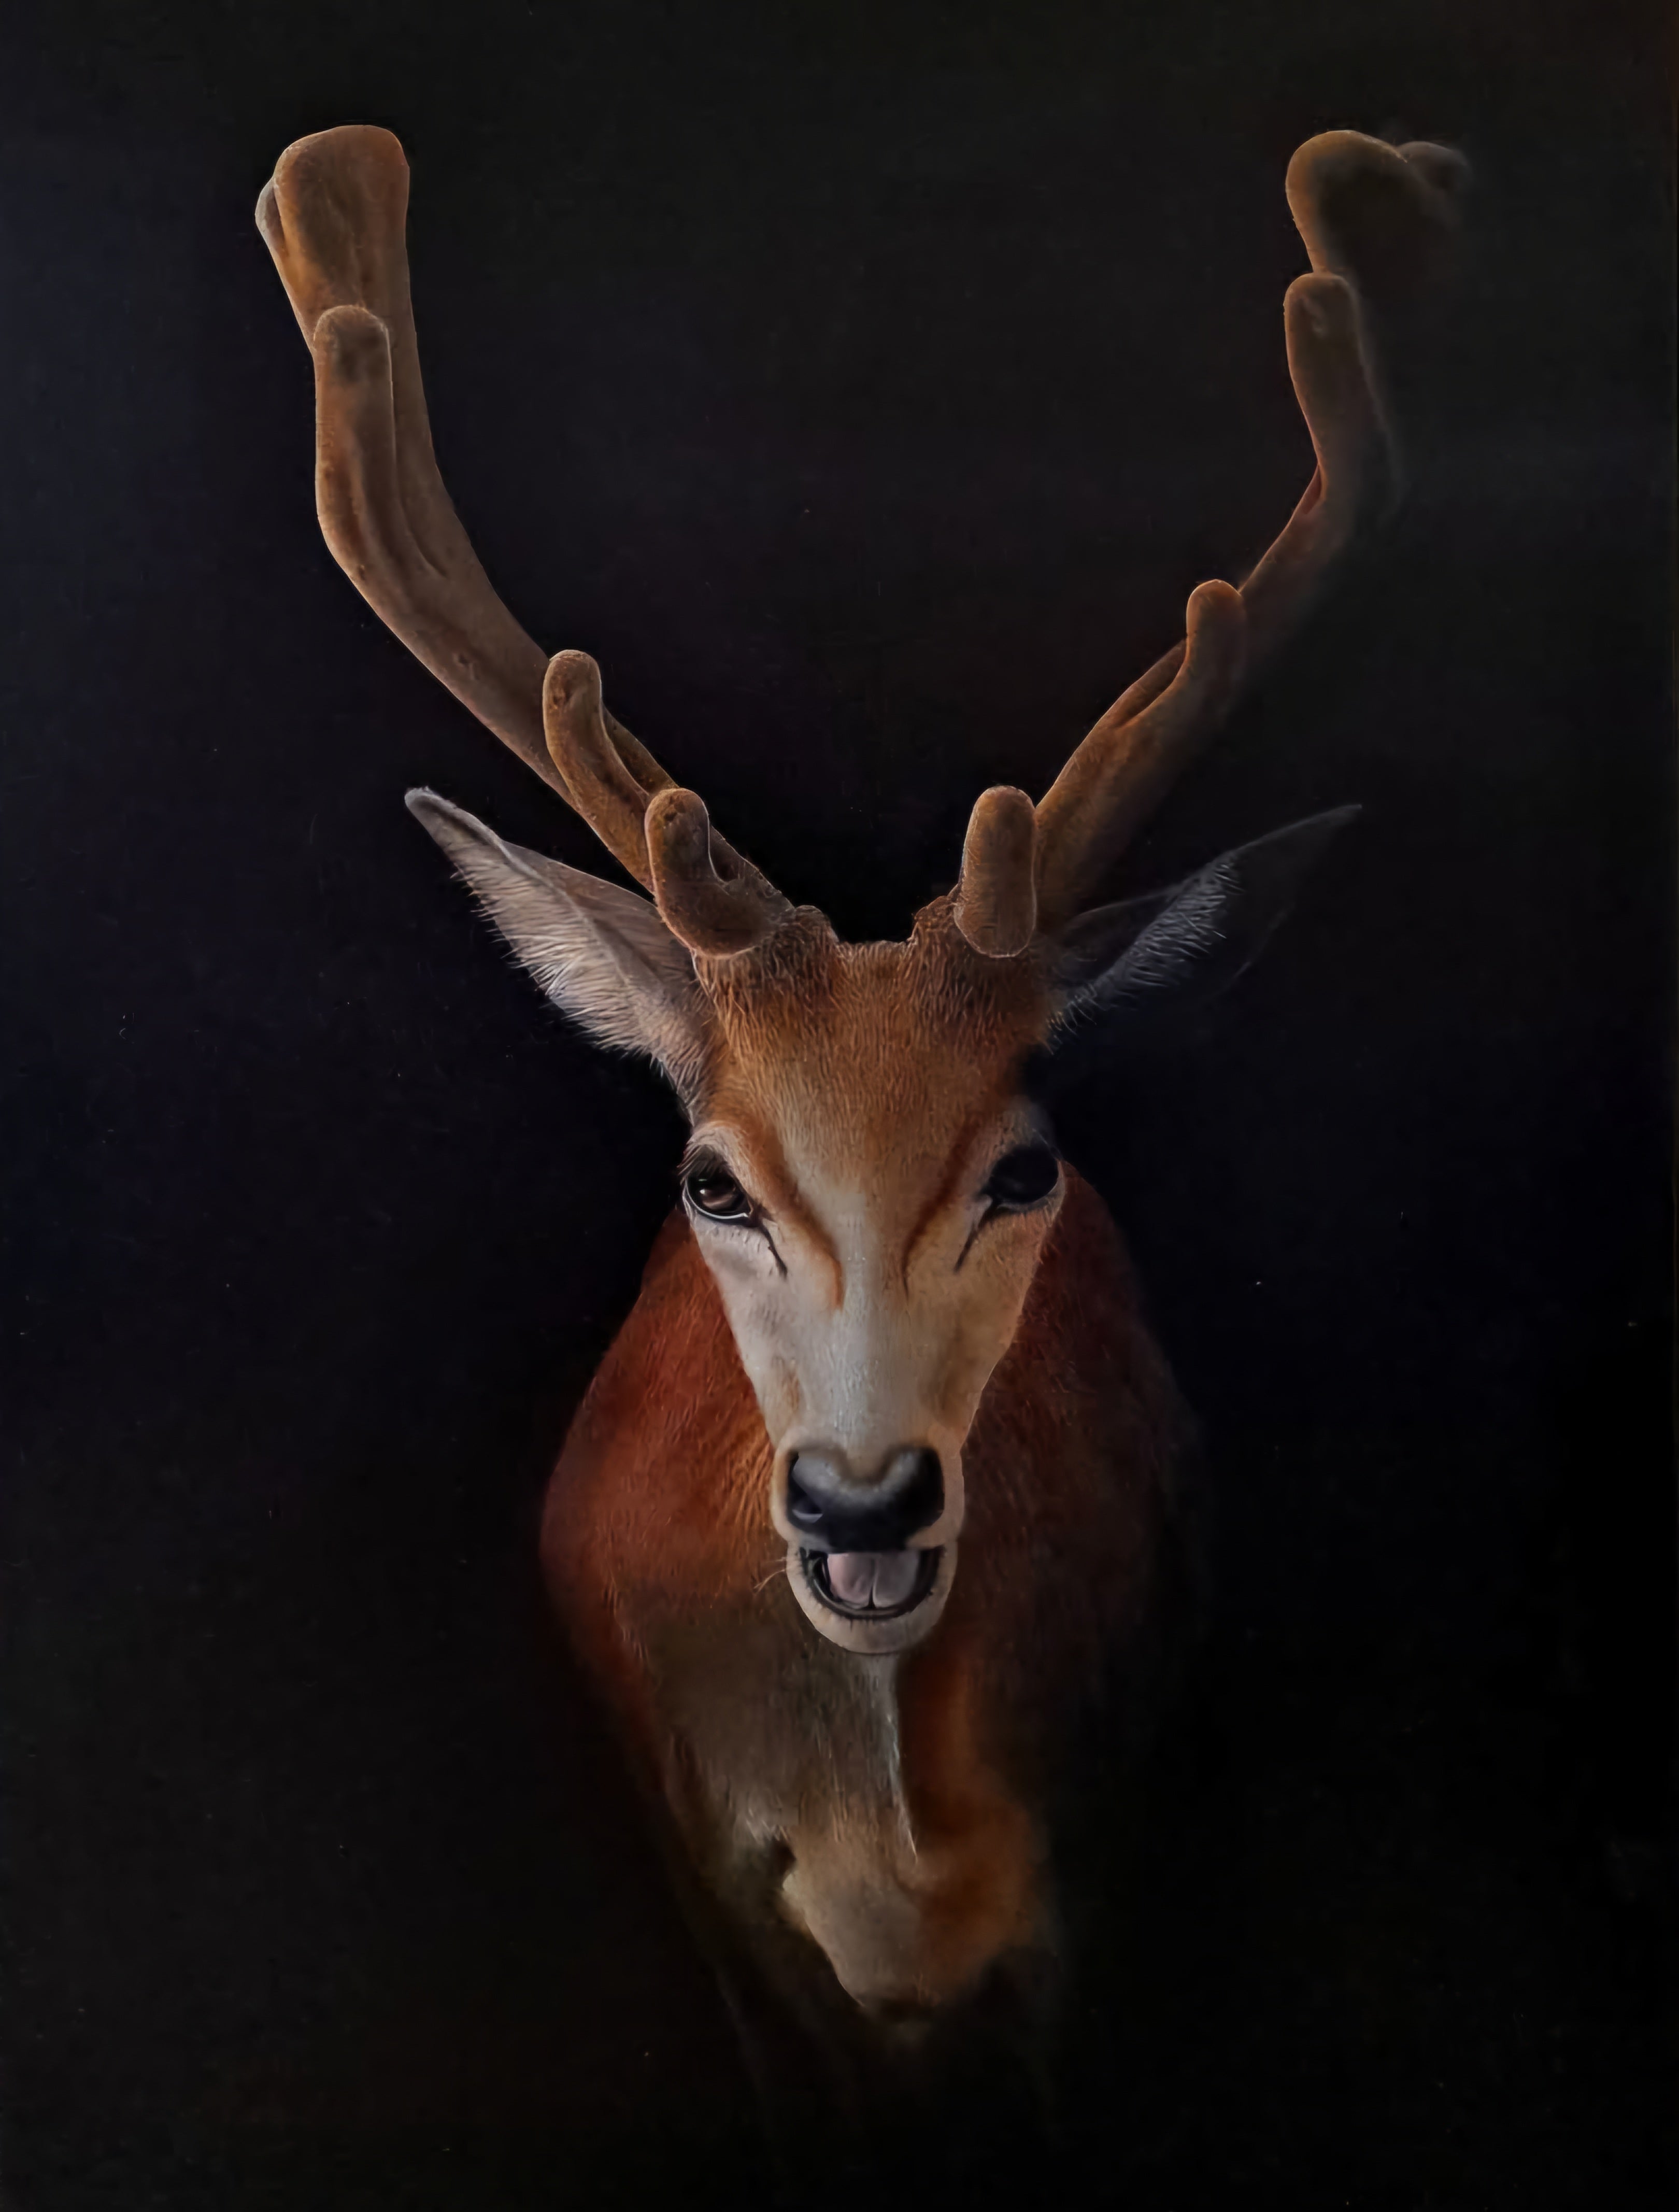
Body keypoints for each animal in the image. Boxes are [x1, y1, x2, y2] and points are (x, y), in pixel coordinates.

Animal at [257, 120, 1464, 2120]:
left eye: (1024, 1164)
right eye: (712, 1178)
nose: (860, 1498)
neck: (896, 1851)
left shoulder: (1098, 1871)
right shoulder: (723, 1904)